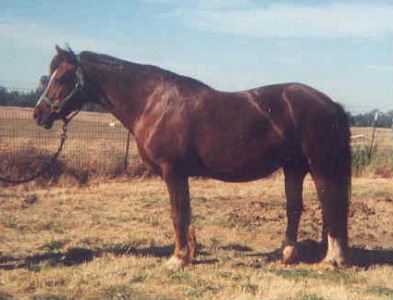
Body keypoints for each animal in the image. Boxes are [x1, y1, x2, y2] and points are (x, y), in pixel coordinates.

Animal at [33, 45, 350, 270]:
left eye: (63, 77)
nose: (39, 114)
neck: (154, 102)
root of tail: (330, 103)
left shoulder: (173, 171)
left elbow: (177, 214)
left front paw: (177, 259)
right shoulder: (180, 174)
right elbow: (186, 214)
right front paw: (190, 253)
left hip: (320, 166)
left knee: (330, 205)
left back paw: (332, 260)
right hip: (293, 168)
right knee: (295, 208)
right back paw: (287, 254)